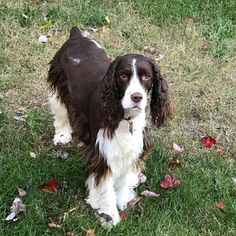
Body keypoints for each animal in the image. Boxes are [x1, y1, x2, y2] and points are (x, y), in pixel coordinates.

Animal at [47, 26, 173, 226]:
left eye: (147, 76)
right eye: (123, 75)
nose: (137, 97)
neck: (125, 118)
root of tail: (76, 35)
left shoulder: (132, 145)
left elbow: (124, 176)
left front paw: (124, 200)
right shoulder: (102, 152)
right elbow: (104, 185)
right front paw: (109, 214)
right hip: (58, 81)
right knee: (60, 110)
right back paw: (62, 135)